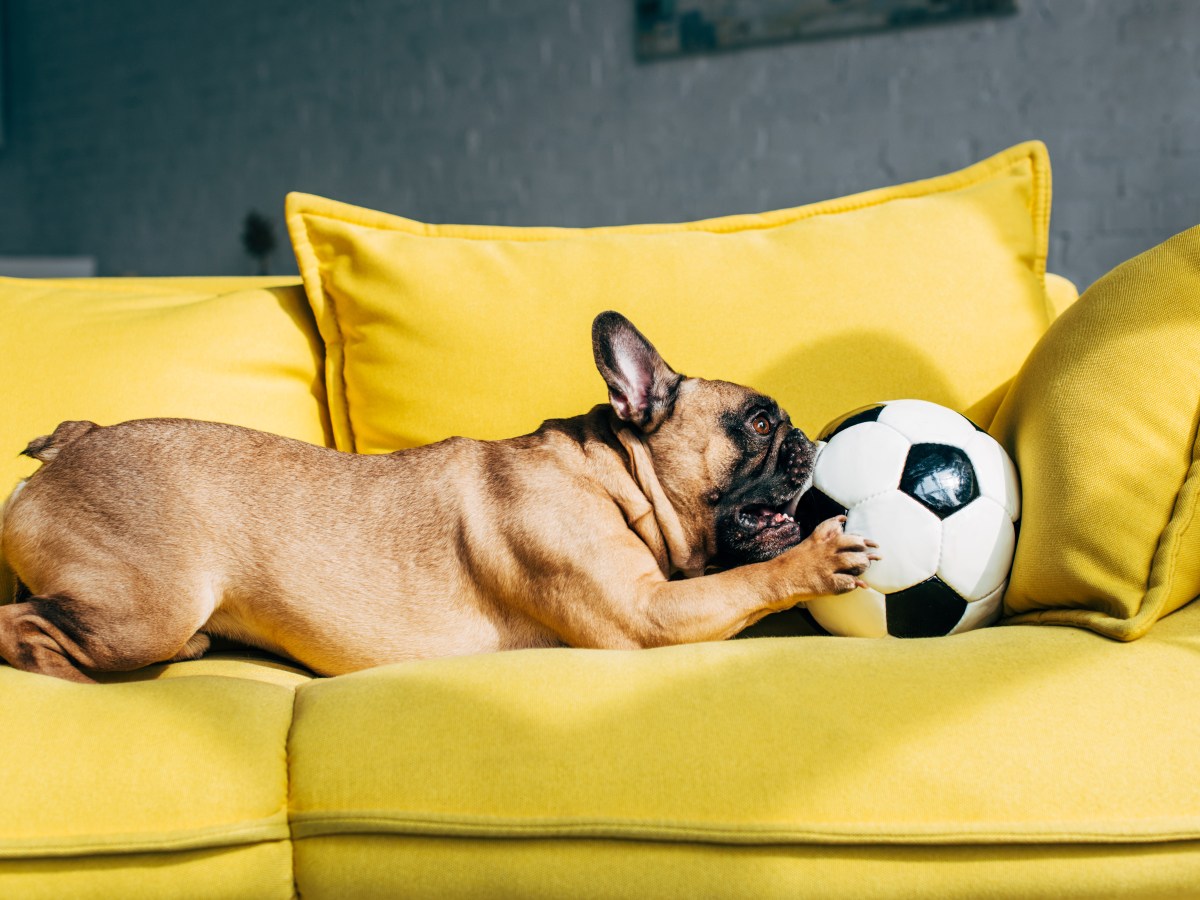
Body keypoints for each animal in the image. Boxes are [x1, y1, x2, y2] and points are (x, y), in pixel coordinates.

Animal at [2, 312, 883, 681]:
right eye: (760, 422)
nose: (808, 440)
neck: (609, 472)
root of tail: (77, 439)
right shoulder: (645, 618)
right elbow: (750, 579)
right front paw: (815, 559)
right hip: (148, 608)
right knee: (27, 625)